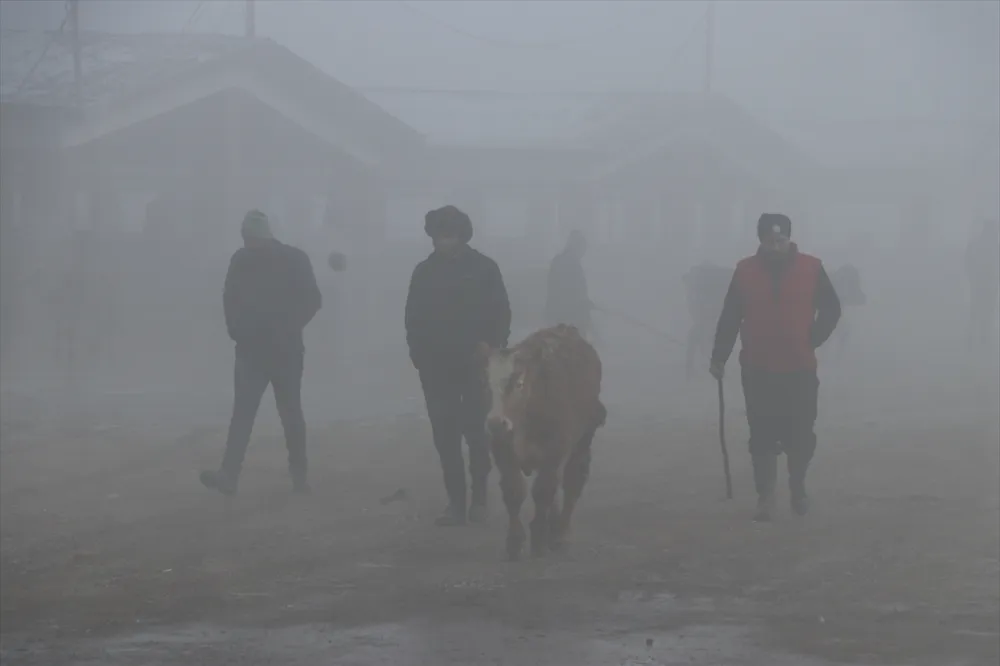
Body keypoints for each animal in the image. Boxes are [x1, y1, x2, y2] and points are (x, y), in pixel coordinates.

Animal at [480, 324, 604, 556]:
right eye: (486, 383)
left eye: (519, 384)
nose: (495, 423)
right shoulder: (502, 450)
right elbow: (513, 490)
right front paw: (515, 541)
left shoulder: (554, 451)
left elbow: (543, 491)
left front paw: (538, 538)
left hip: (582, 440)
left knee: (572, 481)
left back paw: (561, 533)